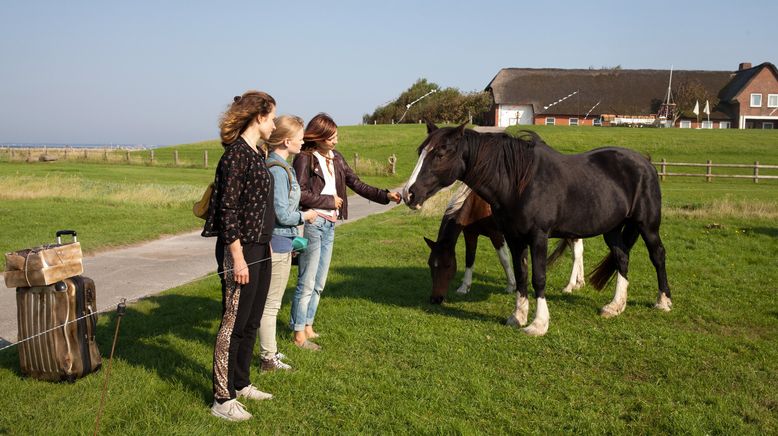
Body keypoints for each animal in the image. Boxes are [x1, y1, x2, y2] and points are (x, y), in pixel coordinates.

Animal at [424, 184, 584, 304]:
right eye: (431, 264)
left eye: (447, 265)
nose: (435, 299)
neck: (477, 202)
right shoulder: (470, 233)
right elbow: (470, 259)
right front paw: (464, 287)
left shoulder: (496, 234)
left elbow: (504, 259)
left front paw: (511, 285)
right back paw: (579, 282)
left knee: (577, 254)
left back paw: (569, 286)